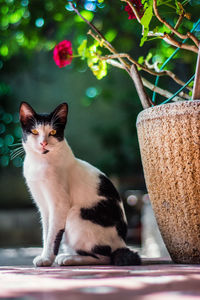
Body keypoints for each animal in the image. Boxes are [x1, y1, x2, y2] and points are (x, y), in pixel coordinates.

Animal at [19, 102, 141, 266]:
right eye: (34, 131)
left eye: (53, 131)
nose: (43, 143)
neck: (40, 163)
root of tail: (122, 244)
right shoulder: (43, 206)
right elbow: (46, 232)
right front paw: (45, 255)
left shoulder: (60, 205)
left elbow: (53, 235)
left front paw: (46, 259)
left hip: (75, 214)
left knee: (104, 257)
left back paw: (68, 258)